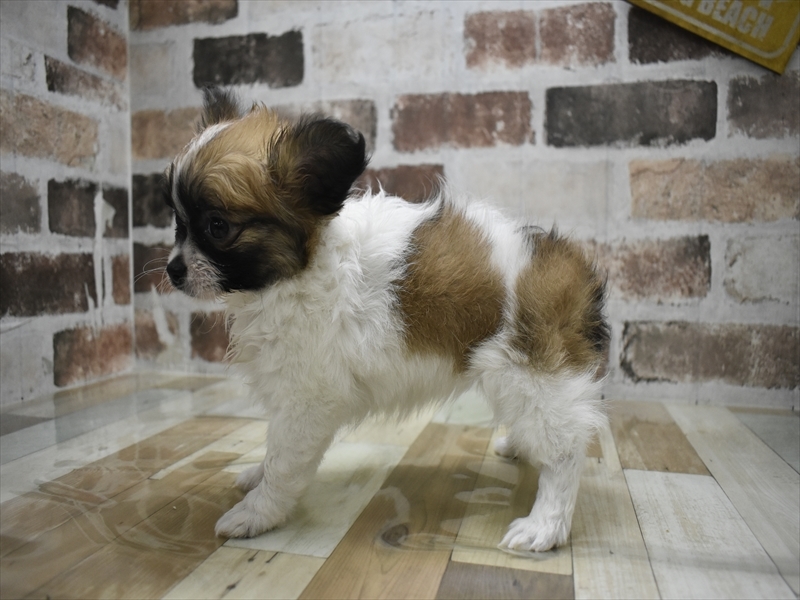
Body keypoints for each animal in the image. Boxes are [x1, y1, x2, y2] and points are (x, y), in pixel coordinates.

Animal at [164, 87, 609, 552]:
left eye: (217, 227)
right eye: (177, 220)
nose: (173, 270)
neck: (305, 266)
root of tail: (573, 267)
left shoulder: (307, 401)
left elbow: (284, 462)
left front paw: (258, 512)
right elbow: (273, 453)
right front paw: (257, 477)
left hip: (530, 375)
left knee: (564, 453)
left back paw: (545, 525)